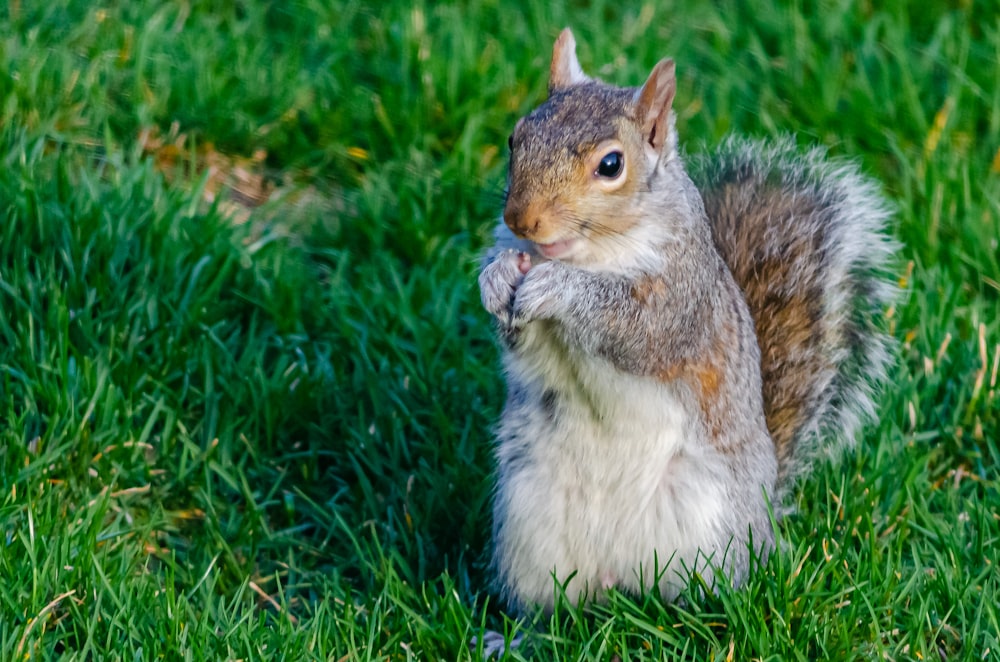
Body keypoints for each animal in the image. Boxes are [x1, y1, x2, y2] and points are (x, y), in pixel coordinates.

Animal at [480, 28, 896, 620]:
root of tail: (618, 581)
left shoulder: (681, 300)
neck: (590, 254)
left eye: (611, 165)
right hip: (528, 522)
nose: (521, 220)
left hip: (710, 527)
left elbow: (634, 328)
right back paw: (518, 630)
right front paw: (495, 279)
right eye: (516, 138)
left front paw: (557, 288)